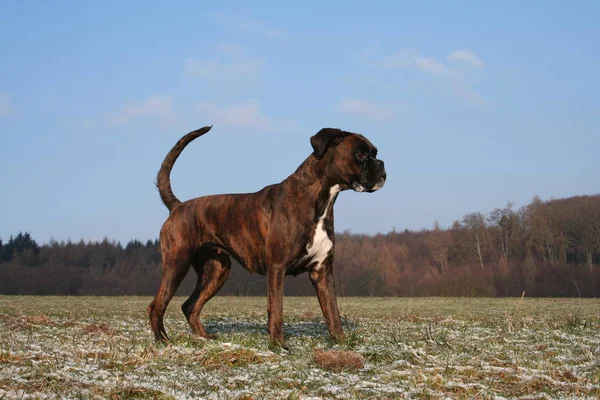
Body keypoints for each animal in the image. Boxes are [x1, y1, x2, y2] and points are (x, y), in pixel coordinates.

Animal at [148, 126, 386, 346]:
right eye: (361, 154)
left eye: (375, 153)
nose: (381, 164)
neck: (319, 198)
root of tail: (178, 206)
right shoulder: (277, 268)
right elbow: (277, 310)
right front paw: (279, 345)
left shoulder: (322, 272)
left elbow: (333, 313)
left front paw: (342, 343)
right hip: (177, 263)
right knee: (156, 306)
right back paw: (164, 341)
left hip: (216, 271)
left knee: (190, 305)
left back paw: (205, 339)